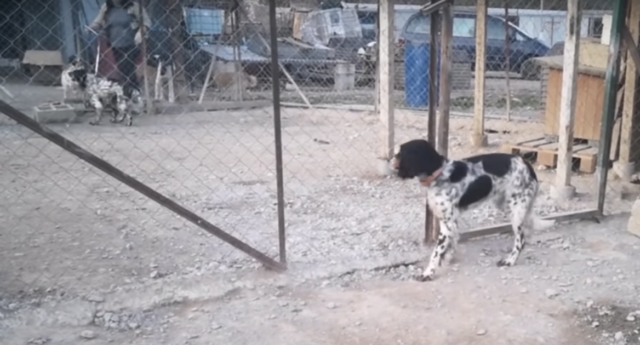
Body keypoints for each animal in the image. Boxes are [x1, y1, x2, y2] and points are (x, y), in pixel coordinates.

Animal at [390, 138, 556, 280]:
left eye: (400, 152)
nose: (389, 158)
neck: (439, 173)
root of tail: (527, 165)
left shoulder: (447, 223)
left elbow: (436, 252)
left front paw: (428, 272)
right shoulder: (450, 222)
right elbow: (450, 244)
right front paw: (448, 259)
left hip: (516, 211)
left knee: (521, 240)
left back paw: (510, 260)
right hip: (507, 205)